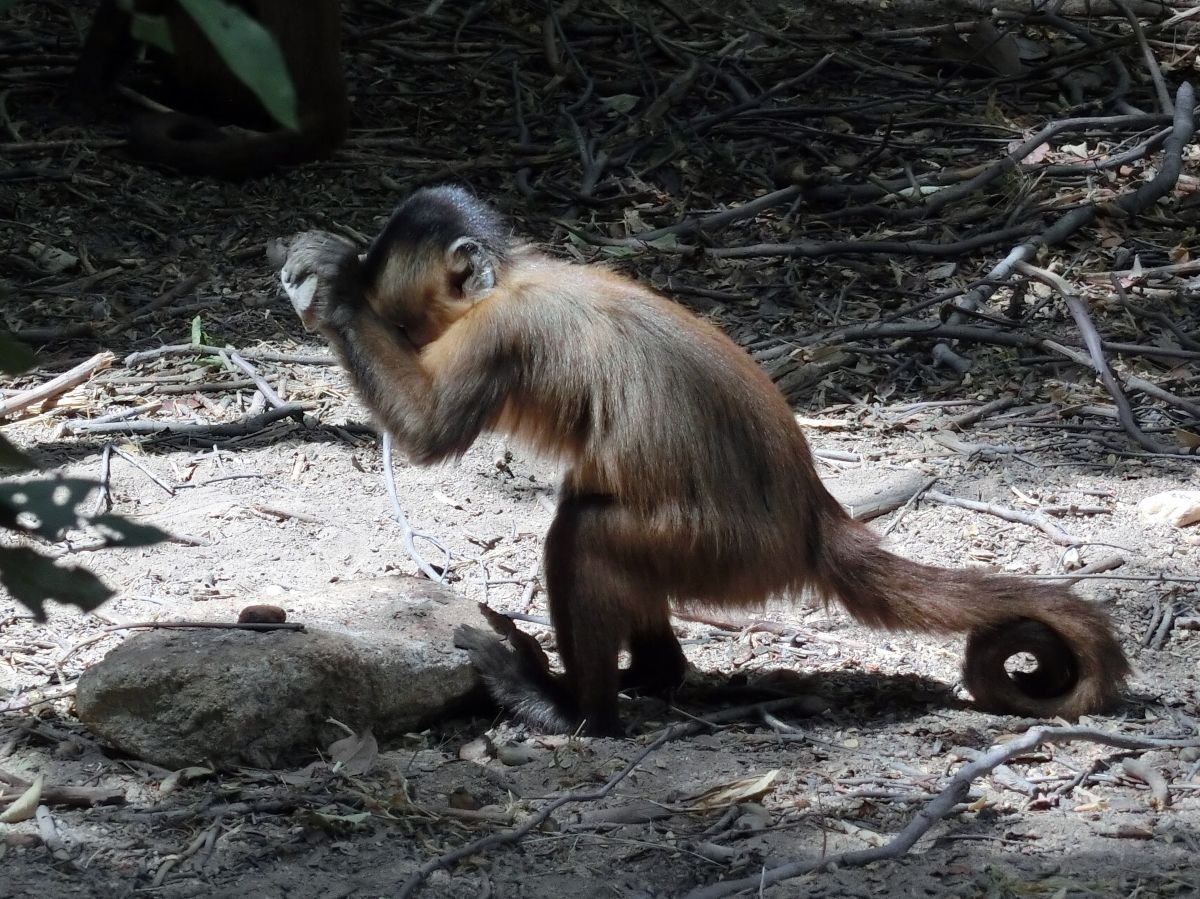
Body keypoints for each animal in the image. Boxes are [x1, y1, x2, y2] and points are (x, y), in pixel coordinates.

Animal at [270, 186, 1123, 734]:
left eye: (387, 297)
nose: (383, 315)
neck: (508, 280)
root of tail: (816, 517)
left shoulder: (501, 331)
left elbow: (428, 435)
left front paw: (331, 286)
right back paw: (650, 675)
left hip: (725, 555)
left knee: (584, 531)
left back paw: (579, 713)